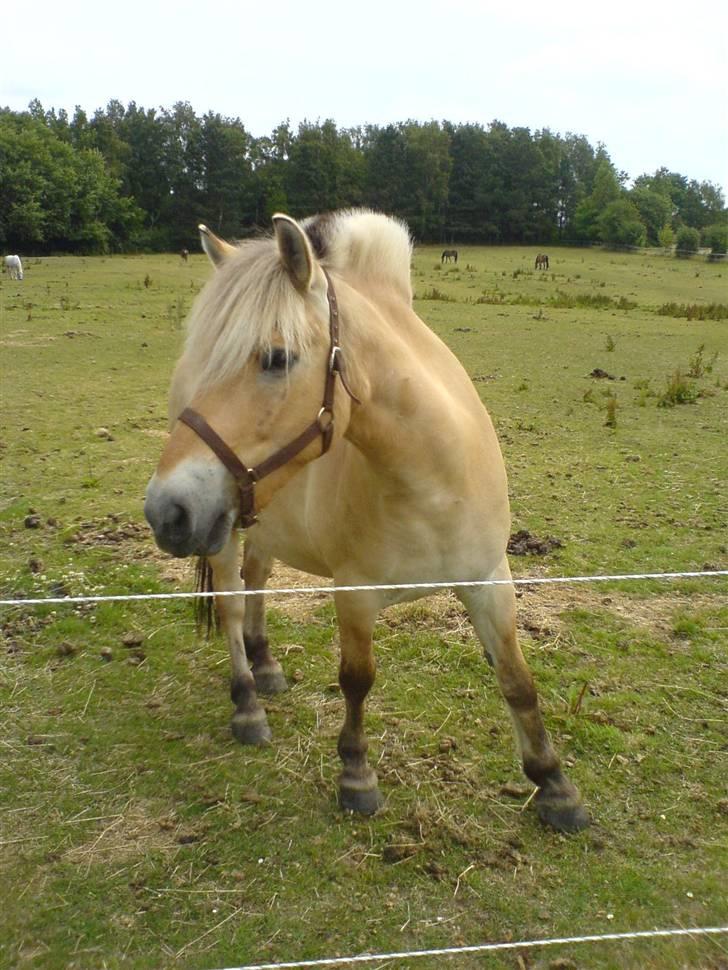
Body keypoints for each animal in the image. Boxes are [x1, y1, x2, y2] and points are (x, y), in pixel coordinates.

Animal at [145, 208, 588, 828]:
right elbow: (357, 680)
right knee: (232, 605)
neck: (429, 481)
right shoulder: (353, 593)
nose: (164, 510)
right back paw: (248, 704)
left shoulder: (490, 581)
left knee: (257, 583)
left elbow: (517, 680)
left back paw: (267, 665)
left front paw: (554, 784)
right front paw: (356, 775)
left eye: (276, 358)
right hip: (224, 531)